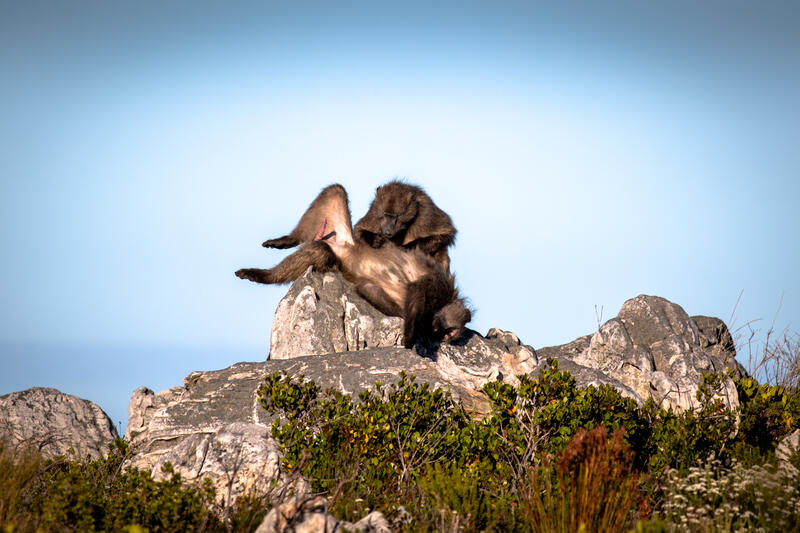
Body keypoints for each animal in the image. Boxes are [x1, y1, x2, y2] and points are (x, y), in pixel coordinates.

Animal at [236, 184, 471, 348]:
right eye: (450, 331)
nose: (442, 336)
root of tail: (343, 244)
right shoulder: (438, 286)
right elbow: (417, 287)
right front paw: (411, 337)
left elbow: (369, 289)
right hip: (344, 232)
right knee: (335, 191)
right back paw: (276, 254)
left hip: (334, 250)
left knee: (319, 249)